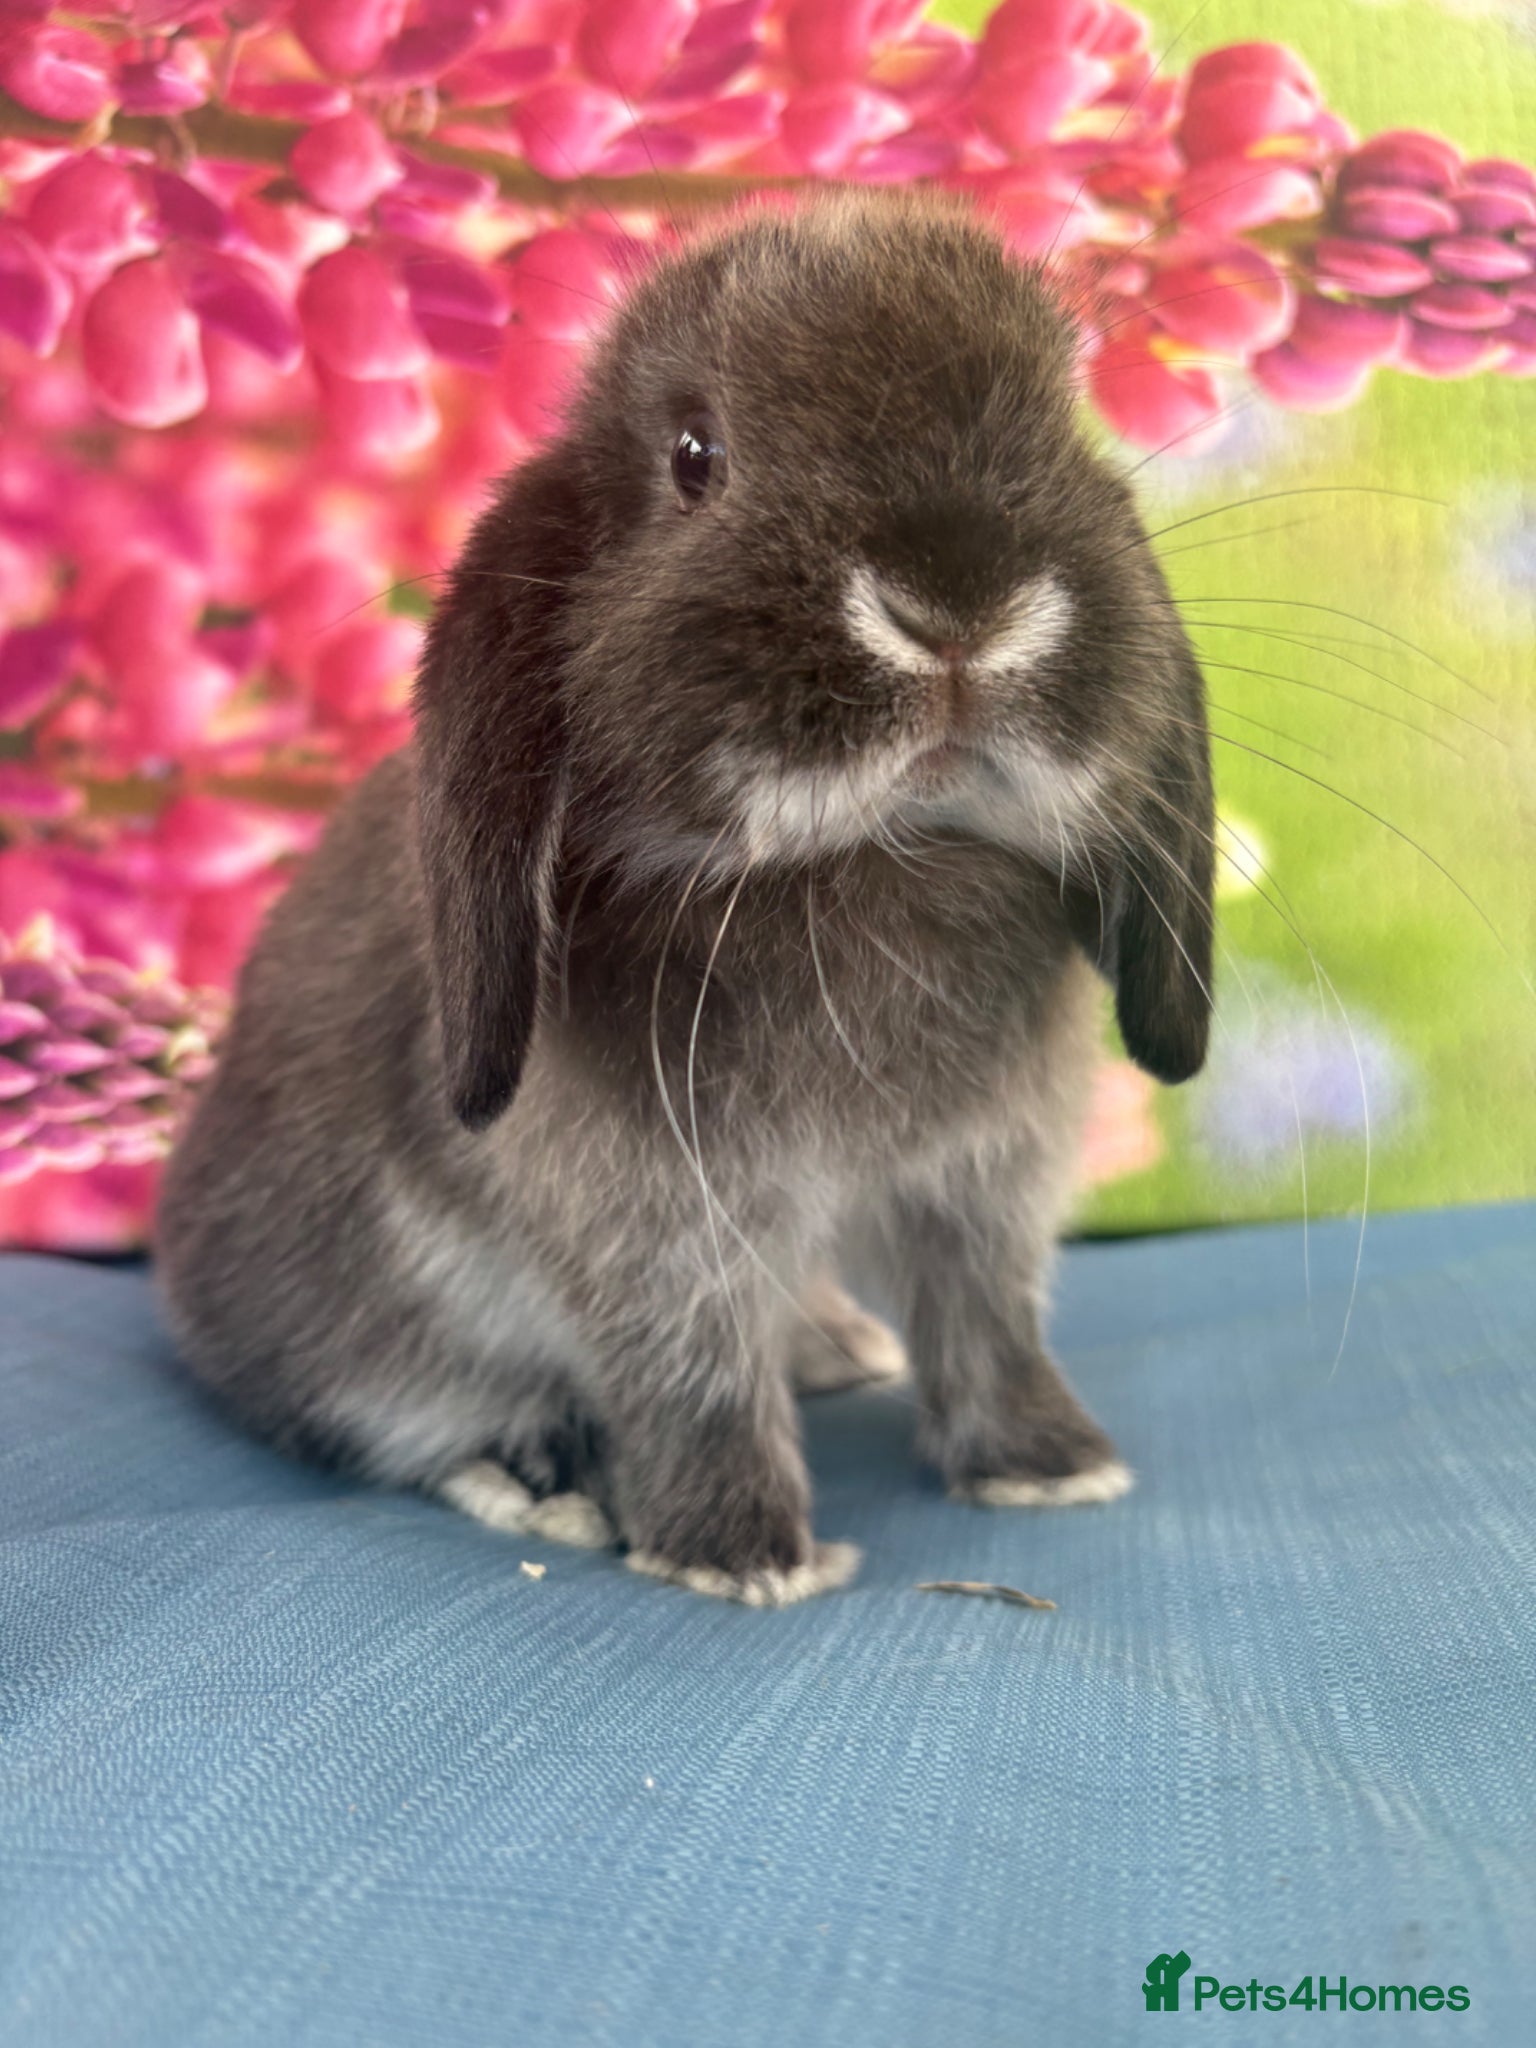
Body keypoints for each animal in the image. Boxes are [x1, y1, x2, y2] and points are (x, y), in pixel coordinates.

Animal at [157, 190, 1214, 1606]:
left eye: (1065, 422)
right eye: (695, 455)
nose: (957, 600)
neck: (872, 855)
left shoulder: (983, 1177)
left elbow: (989, 1314)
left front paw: (1052, 1464)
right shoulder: (654, 1220)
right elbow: (693, 1369)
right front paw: (741, 1554)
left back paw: (838, 1343)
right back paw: (543, 1474)